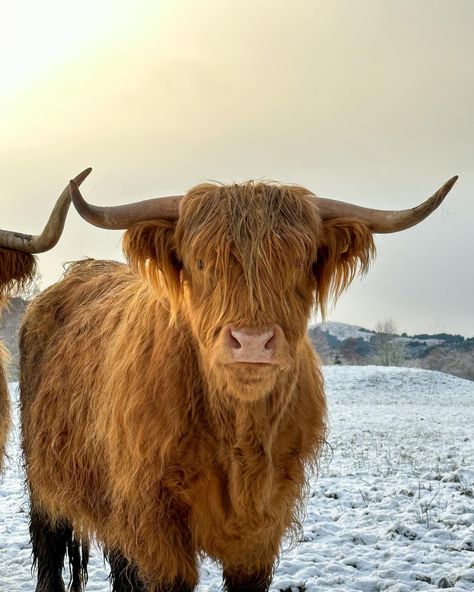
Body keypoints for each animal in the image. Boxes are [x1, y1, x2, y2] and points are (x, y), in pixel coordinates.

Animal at [20, 171, 458, 592]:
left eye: (300, 262)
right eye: (200, 262)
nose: (252, 342)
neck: (237, 433)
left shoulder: (264, 522)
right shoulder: (154, 516)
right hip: (46, 484)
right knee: (50, 550)